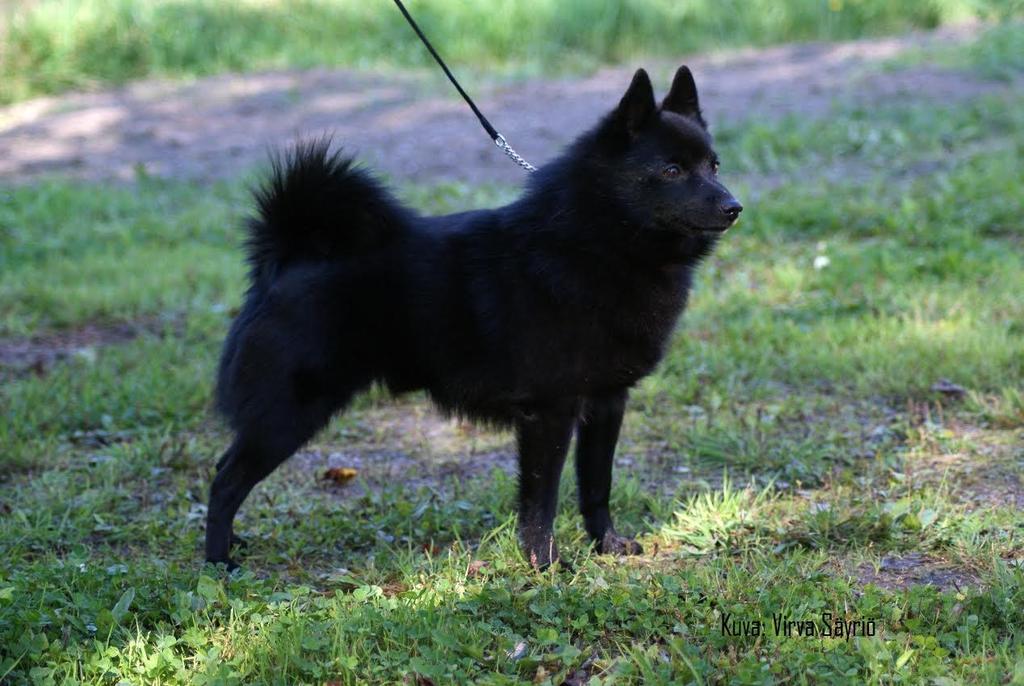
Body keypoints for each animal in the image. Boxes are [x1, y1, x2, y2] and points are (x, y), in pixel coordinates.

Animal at [205, 66, 737, 569]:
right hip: (287, 413)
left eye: (713, 164)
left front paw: (606, 546)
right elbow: (541, 502)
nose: (735, 206)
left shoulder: (607, 401)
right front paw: (543, 564)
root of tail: (286, 254)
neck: (598, 242)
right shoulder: (549, 410)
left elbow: (596, 486)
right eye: (671, 169)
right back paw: (218, 563)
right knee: (225, 481)